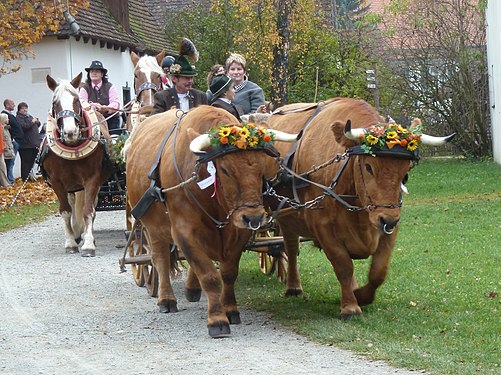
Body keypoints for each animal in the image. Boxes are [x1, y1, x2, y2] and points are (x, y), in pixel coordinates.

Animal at [41, 72, 112, 258]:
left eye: (76, 100)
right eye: (55, 102)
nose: (70, 132)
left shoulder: (92, 179)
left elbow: (88, 210)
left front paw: (88, 245)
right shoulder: (57, 181)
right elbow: (66, 211)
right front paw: (71, 242)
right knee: (73, 205)